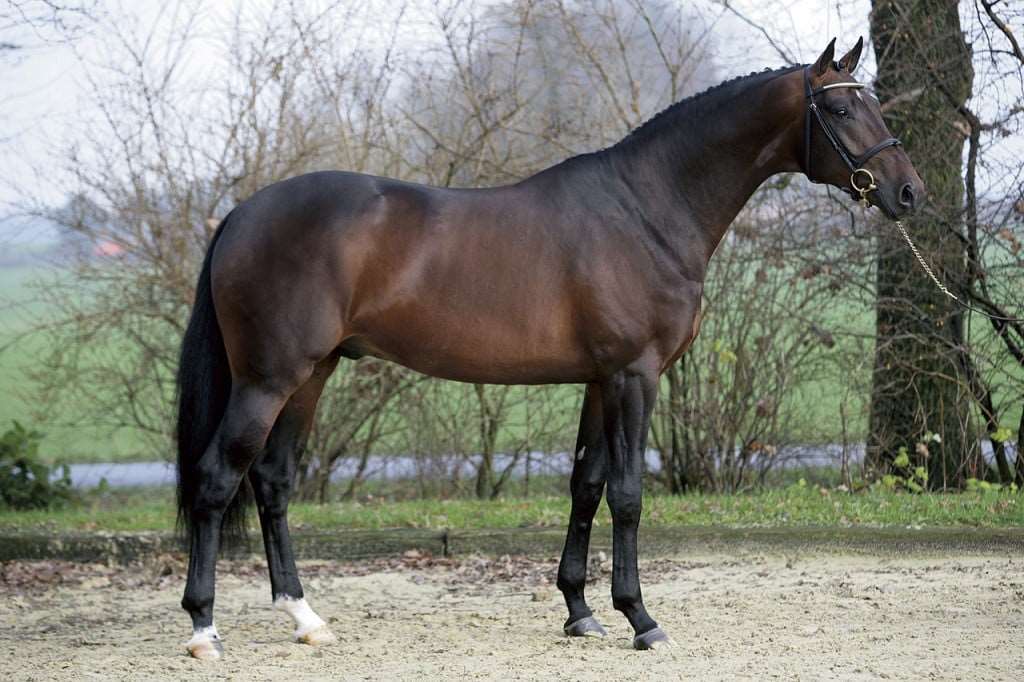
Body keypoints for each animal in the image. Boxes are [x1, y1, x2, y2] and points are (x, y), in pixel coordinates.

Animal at [175, 37, 924, 658]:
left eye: (870, 101)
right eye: (840, 107)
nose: (909, 192)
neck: (647, 209)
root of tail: (241, 214)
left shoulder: (599, 380)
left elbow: (586, 485)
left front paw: (580, 611)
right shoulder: (634, 375)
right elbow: (627, 492)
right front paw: (641, 619)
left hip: (311, 375)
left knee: (273, 481)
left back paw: (306, 619)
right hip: (268, 379)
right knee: (216, 479)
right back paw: (204, 630)